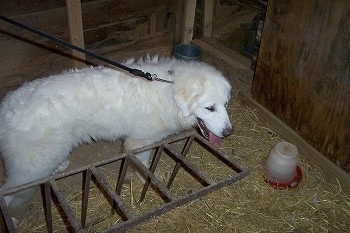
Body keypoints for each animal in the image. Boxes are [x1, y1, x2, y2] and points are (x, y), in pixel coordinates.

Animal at [0, 55, 232, 208]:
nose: (229, 132)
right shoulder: (140, 141)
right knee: (7, 192)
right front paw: (145, 181)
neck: (168, 90)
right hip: (31, 167)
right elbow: (143, 166)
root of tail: (5, 109)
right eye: (210, 108)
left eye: (225, 104)